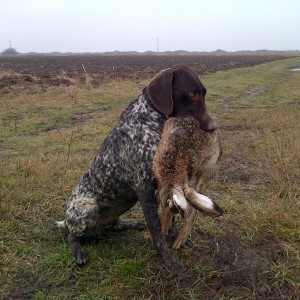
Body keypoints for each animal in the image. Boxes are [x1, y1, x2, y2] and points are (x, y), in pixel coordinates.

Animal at [55, 63, 216, 272]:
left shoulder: (166, 185)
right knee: (71, 233)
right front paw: (169, 260)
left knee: (112, 226)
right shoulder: (145, 189)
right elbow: (157, 232)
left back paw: (131, 225)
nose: (213, 127)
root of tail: (66, 219)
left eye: (203, 93)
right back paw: (78, 251)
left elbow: (169, 217)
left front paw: (174, 236)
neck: (150, 120)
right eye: (192, 93)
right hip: (86, 208)